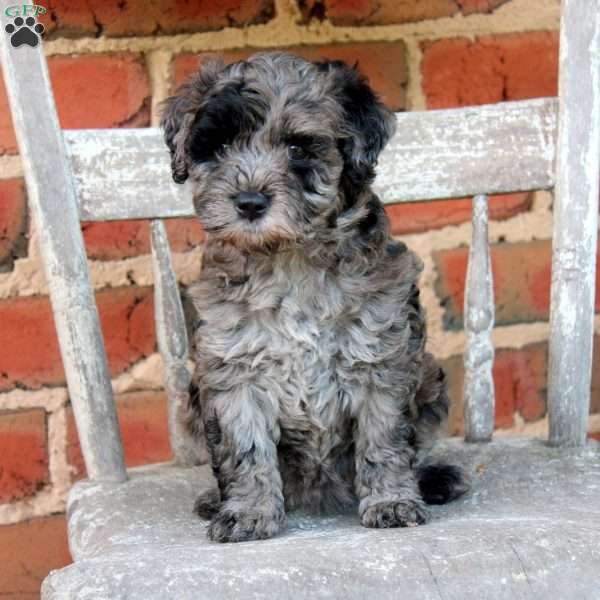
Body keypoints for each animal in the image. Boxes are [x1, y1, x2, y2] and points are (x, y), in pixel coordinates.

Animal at [161, 50, 468, 544]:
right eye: (220, 146)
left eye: (298, 149)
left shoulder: (381, 359)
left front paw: (392, 502)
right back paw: (214, 499)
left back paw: (433, 480)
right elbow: (244, 447)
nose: (249, 202)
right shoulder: (234, 369)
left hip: (431, 378)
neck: (289, 258)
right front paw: (248, 511)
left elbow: (384, 439)